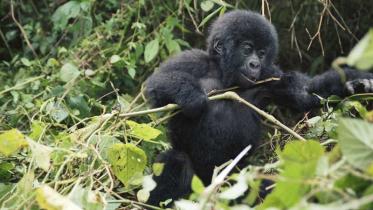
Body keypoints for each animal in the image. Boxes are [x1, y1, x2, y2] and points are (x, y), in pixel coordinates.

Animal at [144, 9, 372, 205]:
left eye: (261, 53)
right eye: (247, 49)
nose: (255, 64)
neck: (225, 76)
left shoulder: (269, 75)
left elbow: (305, 92)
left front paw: (356, 84)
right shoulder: (192, 61)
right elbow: (157, 83)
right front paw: (192, 97)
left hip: (236, 177)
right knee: (176, 160)